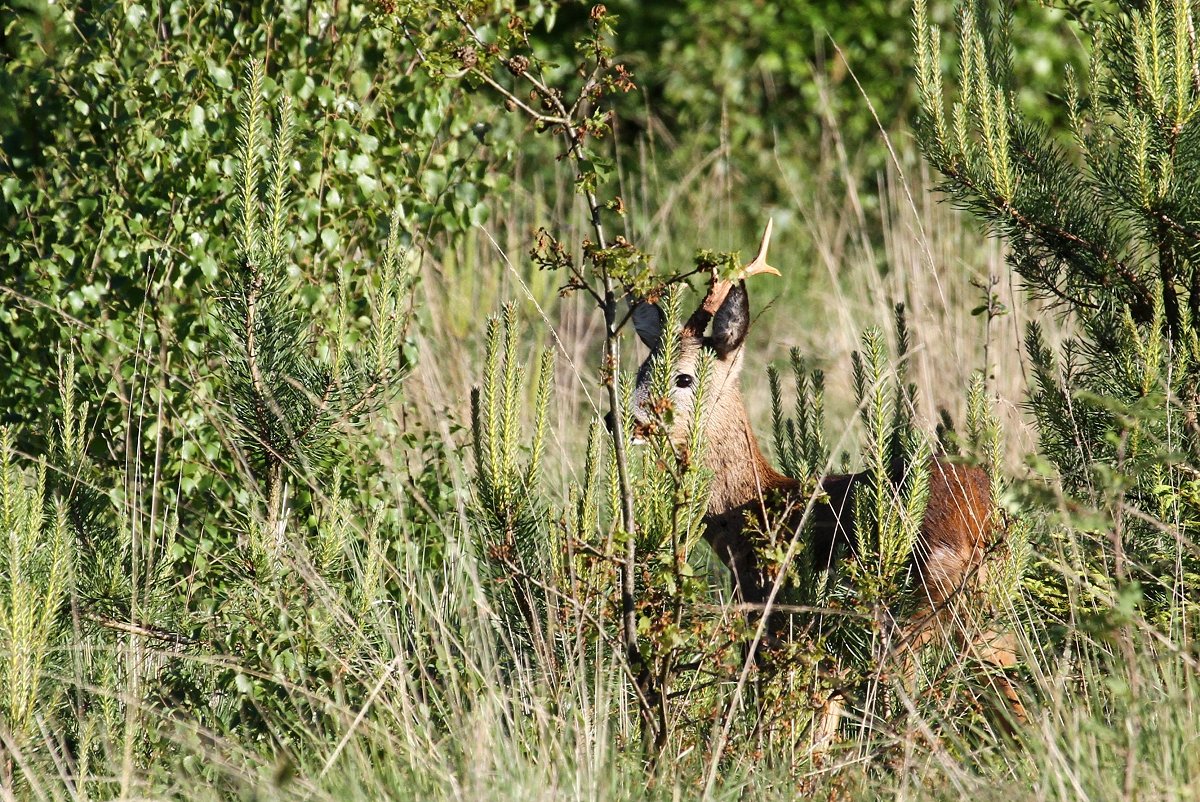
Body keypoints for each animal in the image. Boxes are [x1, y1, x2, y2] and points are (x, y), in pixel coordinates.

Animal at [624, 222, 1027, 734]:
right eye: (642, 369)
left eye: (682, 379)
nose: (624, 419)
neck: (753, 509)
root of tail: (985, 522)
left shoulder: (777, 622)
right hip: (988, 617)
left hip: (911, 611)